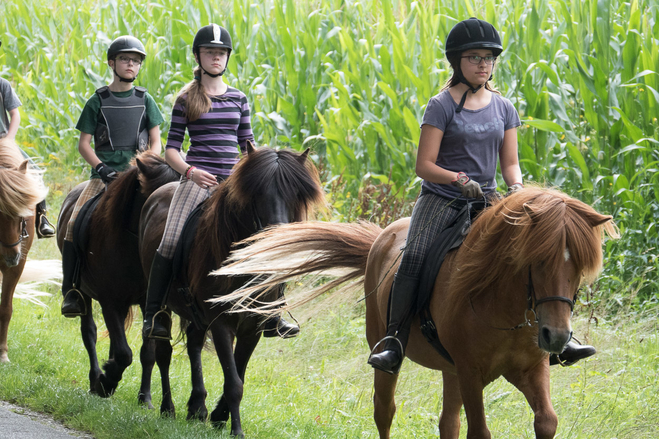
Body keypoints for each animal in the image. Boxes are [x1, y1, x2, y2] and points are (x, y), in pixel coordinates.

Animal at [55, 152, 179, 412]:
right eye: (162, 200)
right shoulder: (109, 301)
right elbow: (124, 353)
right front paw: (107, 381)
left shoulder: (149, 305)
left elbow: (148, 352)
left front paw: (147, 398)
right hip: (83, 295)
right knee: (89, 332)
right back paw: (95, 379)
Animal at [139, 144, 324, 436]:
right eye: (257, 192)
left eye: (296, 193)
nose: (278, 240)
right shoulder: (221, 322)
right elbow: (234, 382)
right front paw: (235, 429)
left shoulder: (253, 325)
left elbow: (239, 373)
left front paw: (218, 416)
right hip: (162, 304)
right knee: (163, 351)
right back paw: (167, 407)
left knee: (193, 345)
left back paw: (197, 407)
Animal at [215, 187, 620, 439]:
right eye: (538, 260)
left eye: (580, 266)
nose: (557, 336)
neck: (504, 306)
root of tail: (381, 239)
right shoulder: (472, 373)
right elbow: (480, 431)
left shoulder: (528, 369)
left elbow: (547, 421)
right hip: (390, 355)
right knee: (385, 410)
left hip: (451, 371)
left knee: (447, 424)